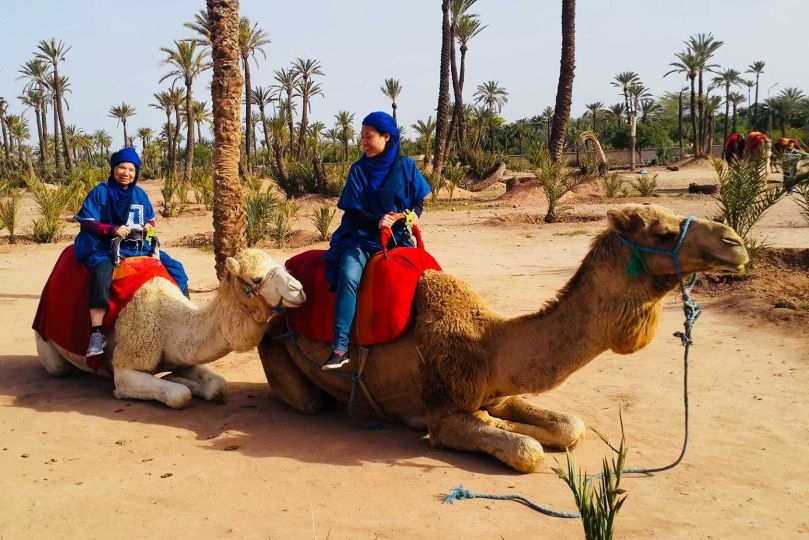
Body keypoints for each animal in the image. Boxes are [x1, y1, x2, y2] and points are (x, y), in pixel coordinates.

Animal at [34, 249, 308, 410]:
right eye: (256, 279)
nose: (299, 289)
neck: (168, 325)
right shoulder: (126, 366)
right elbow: (179, 395)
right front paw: (176, 383)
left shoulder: (182, 356)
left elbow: (217, 386)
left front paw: (176, 378)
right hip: (45, 339)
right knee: (58, 367)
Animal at [258, 205, 744, 470]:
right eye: (661, 232)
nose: (735, 242)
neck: (487, 344)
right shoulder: (445, 411)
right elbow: (527, 450)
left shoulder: (500, 391)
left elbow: (570, 426)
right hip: (276, 351)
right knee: (310, 400)